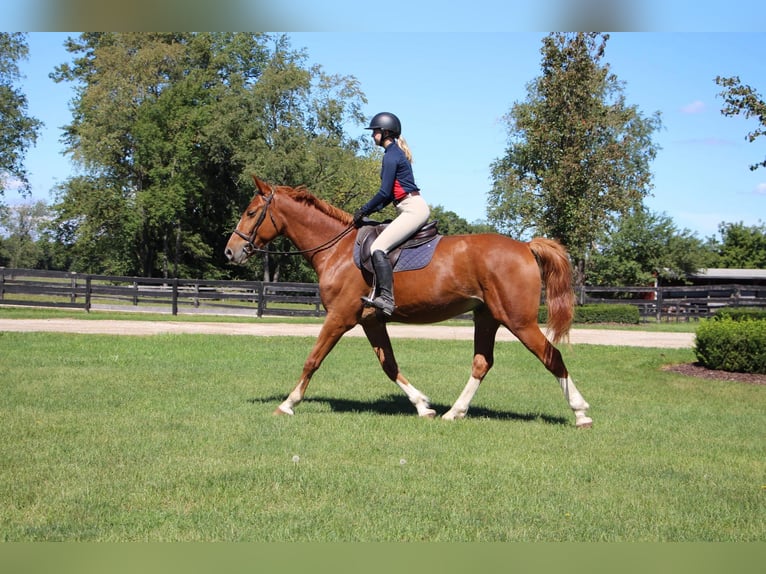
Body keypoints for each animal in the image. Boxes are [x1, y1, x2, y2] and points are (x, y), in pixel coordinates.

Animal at [222, 176, 592, 428]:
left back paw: (580, 413)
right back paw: (454, 412)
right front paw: (423, 405)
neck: (337, 249)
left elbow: (312, 360)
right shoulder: (370, 320)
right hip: (487, 317)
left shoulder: (339, 317)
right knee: (482, 363)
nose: (230, 251)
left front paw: (288, 403)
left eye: (251, 212)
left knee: (552, 356)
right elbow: (389, 365)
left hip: (519, 321)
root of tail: (525, 246)